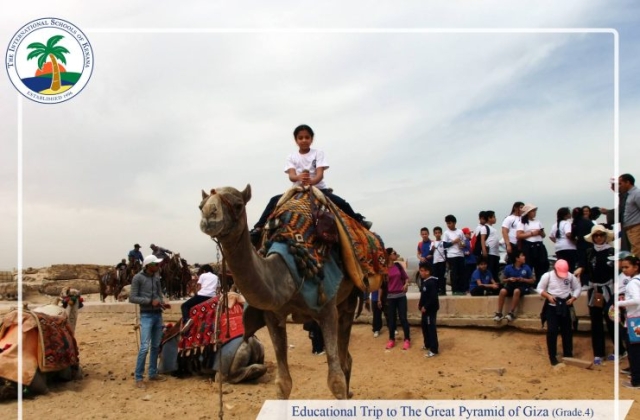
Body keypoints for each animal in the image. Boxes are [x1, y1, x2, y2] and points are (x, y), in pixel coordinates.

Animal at [199, 185, 384, 398]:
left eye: (238, 205)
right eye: (200, 206)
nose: (209, 216)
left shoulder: (327, 309)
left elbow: (336, 380)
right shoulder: (272, 316)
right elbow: (283, 382)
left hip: (349, 299)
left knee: (345, 360)